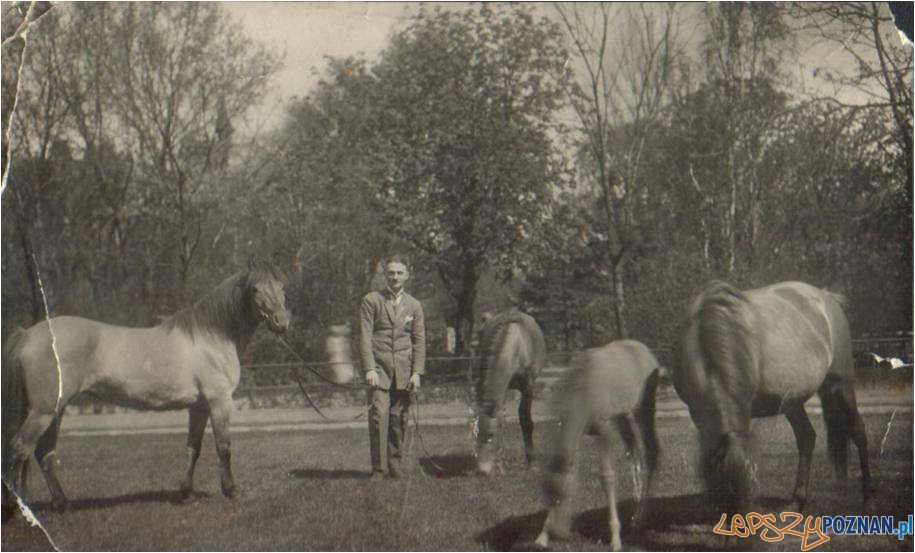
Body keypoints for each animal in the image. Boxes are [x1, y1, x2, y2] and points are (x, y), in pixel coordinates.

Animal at [2, 256, 290, 512]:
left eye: (282, 286)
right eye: (255, 289)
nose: (282, 322)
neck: (212, 336)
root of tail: (28, 334)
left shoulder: (199, 406)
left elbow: (193, 448)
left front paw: (185, 492)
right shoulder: (219, 401)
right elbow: (224, 447)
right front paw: (231, 491)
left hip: (56, 410)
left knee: (43, 453)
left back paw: (61, 503)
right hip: (44, 411)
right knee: (20, 448)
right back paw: (18, 506)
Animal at [476, 306, 548, 474]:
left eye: (490, 435)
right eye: (476, 433)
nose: (481, 470)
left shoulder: (528, 386)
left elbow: (525, 419)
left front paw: (531, 461)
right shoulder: (503, 387)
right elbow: (501, 419)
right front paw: (500, 460)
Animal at [532, 338, 660, 548]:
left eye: (563, 496)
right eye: (549, 496)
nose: (560, 533)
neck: (581, 390)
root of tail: (645, 349)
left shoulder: (605, 429)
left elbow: (607, 477)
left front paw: (615, 539)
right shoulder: (579, 433)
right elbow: (570, 470)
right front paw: (542, 536)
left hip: (644, 410)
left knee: (651, 452)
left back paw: (640, 517)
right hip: (623, 416)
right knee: (633, 452)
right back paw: (635, 508)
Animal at [672, 280, 872, 516]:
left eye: (748, 484)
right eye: (724, 486)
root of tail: (826, 297)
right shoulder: (698, 413)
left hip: (841, 385)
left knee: (858, 430)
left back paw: (867, 499)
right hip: (792, 401)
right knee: (806, 437)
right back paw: (797, 501)